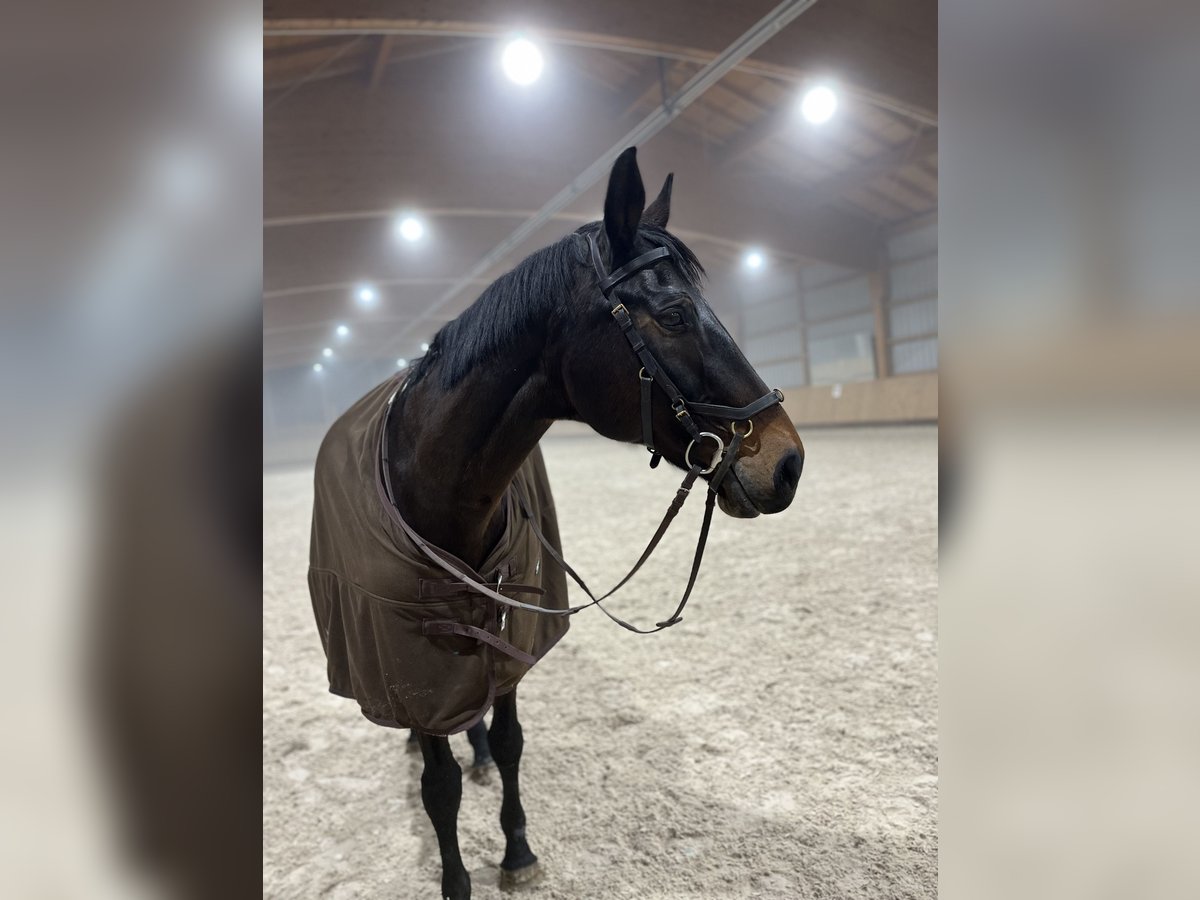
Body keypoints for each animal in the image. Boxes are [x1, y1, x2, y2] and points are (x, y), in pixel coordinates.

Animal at [309, 147, 804, 899]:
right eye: (673, 315)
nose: (788, 462)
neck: (436, 488)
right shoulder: (411, 658)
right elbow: (439, 787)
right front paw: (458, 877)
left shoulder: (512, 625)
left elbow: (511, 742)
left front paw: (517, 851)